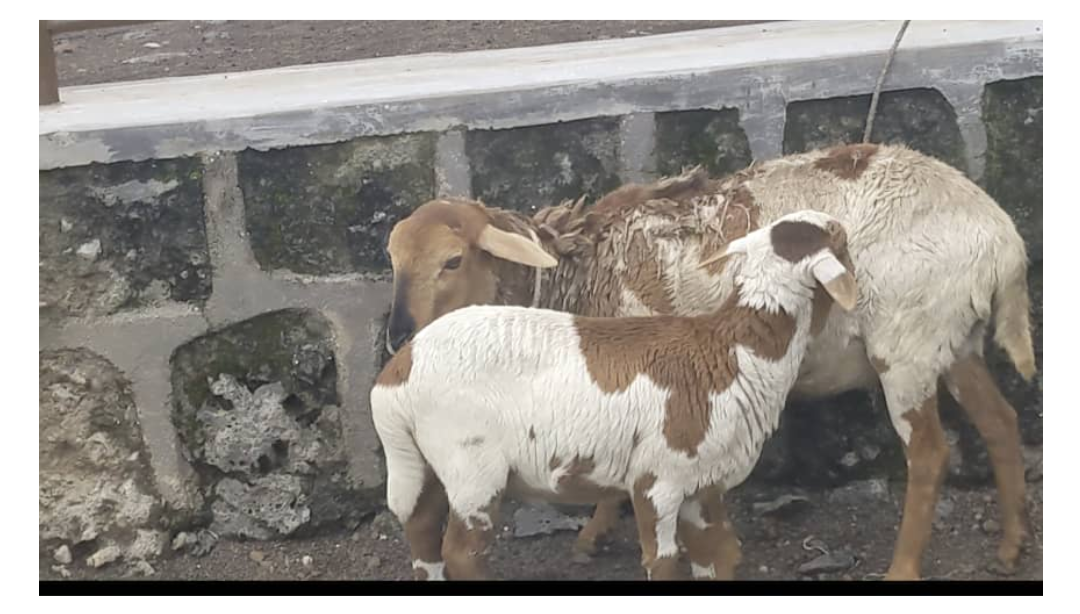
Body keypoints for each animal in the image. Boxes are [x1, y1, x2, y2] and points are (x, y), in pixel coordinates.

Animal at [372, 210, 859, 580]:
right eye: (842, 245)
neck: (732, 350)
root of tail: (397, 371)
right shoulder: (656, 480)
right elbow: (664, 562)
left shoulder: (703, 483)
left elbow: (716, 554)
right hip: (471, 464)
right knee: (462, 553)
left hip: (426, 460)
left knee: (422, 534)